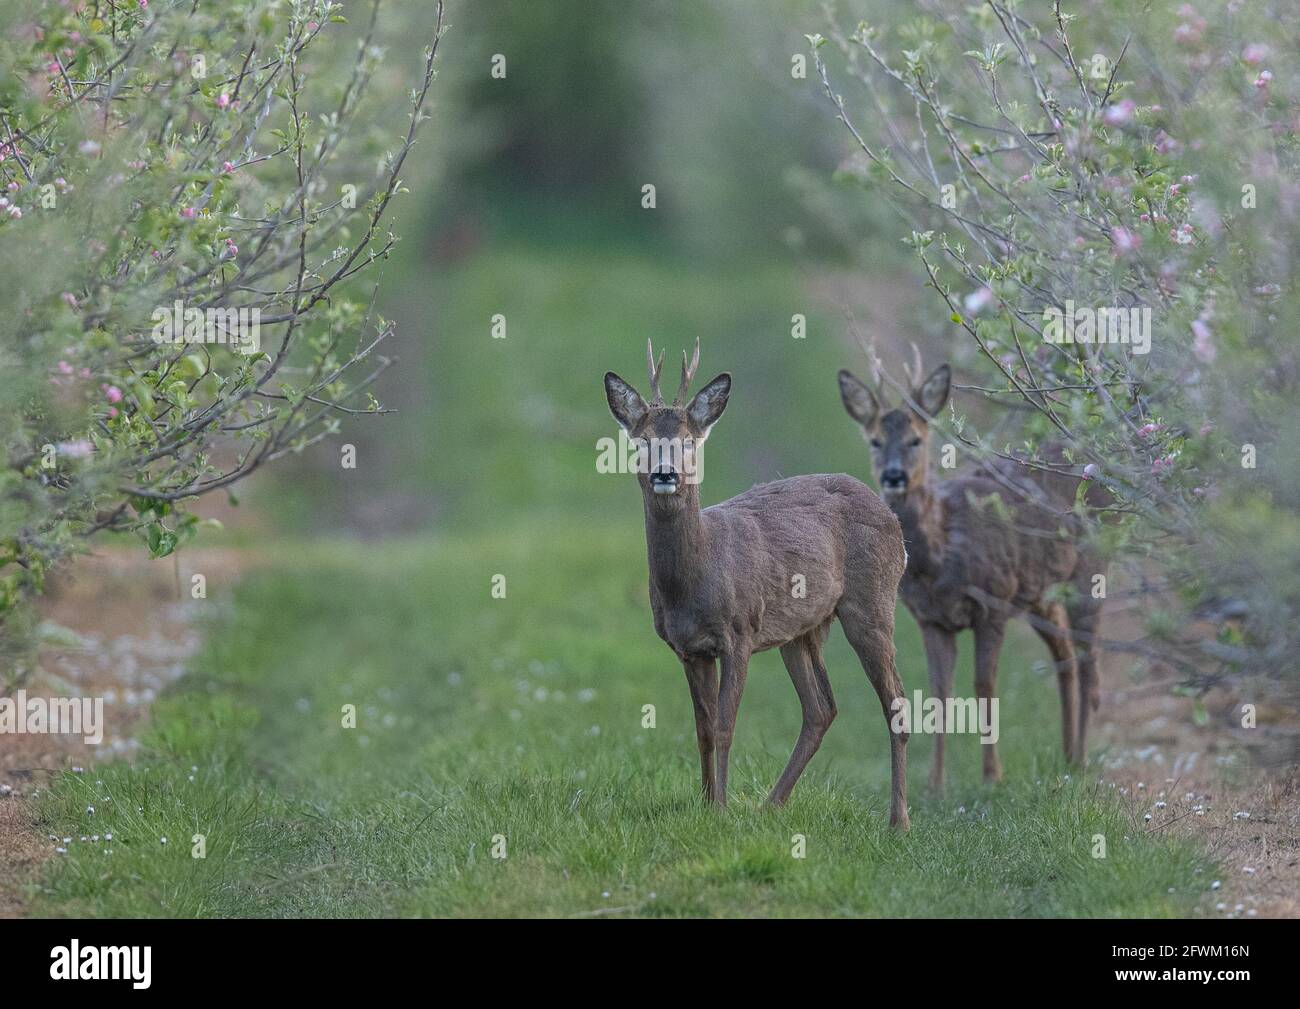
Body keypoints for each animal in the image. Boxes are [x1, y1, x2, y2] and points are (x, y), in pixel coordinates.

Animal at [603, 343, 909, 821]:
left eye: (689, 440)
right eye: (642, 440)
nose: (665, 473)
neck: (695, 580)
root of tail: (891, 517)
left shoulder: (740, 632)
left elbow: (726, 726)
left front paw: (722, 808)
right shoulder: (688, 649)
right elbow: (703, 729)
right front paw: (706, 803)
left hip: (872, 603)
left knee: (896, 701)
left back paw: (899, 821)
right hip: (800, 631)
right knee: (821, 708)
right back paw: (771, 803)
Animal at [837, 351, 1102, 790]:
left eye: (916, 440)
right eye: (874, 440)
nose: (894, 475)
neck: (942, 555)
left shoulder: (993, 602)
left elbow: (983, 684)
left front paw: (992, 776)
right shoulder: (931, 619)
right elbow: (939, 692)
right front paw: (934, 783)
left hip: (1090, 568)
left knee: (1087, 655)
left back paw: (1081, 756)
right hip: (1040, 594)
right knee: (1064, 651)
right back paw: (1068, 756)